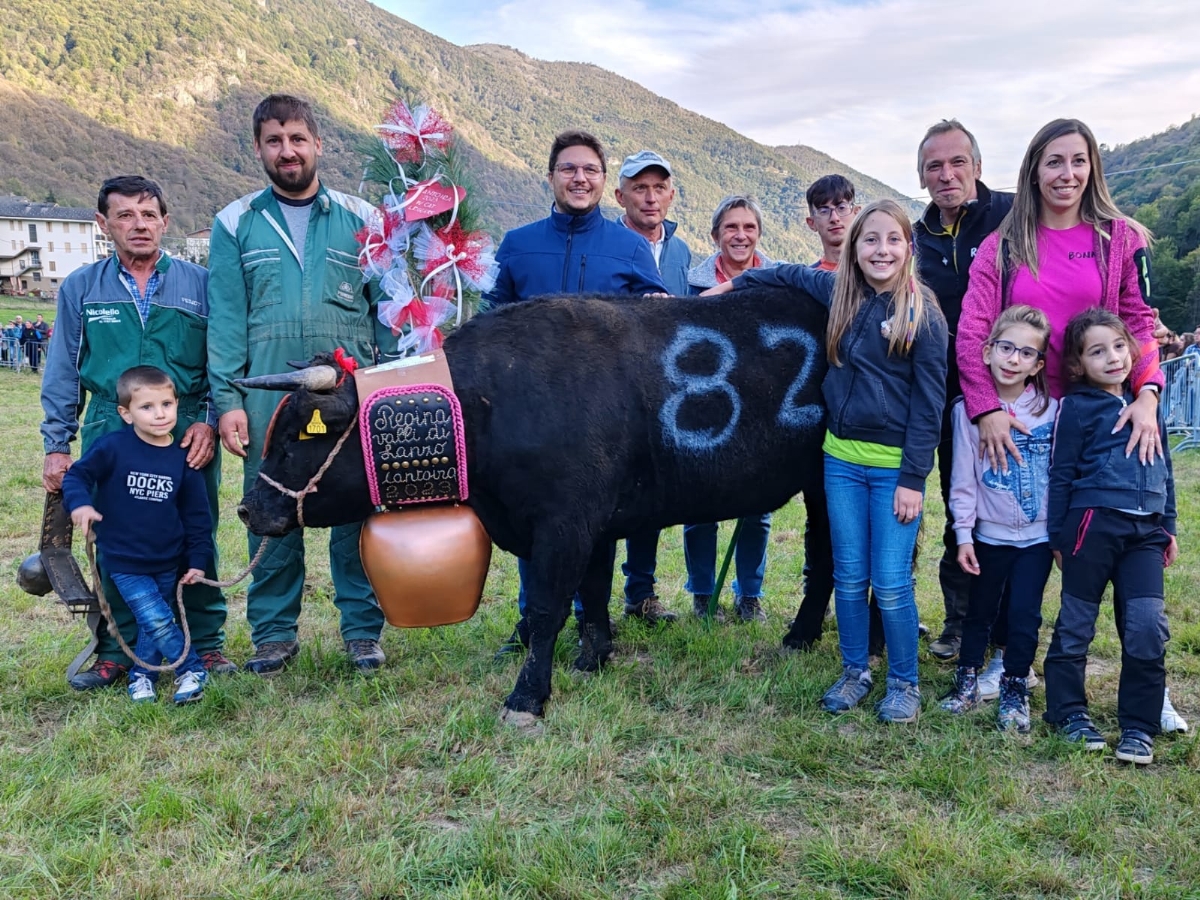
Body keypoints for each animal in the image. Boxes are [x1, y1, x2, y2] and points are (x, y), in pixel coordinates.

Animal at [238, 289, 830, 724]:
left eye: (297, 435)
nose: (248, 508)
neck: (490, 400)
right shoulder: (594, 524)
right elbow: (593, 595)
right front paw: (593, 659)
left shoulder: (565, 524)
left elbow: (548, 609)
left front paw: (527, 697)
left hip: (825, 486)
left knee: (826, 562)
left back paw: (801, 637)